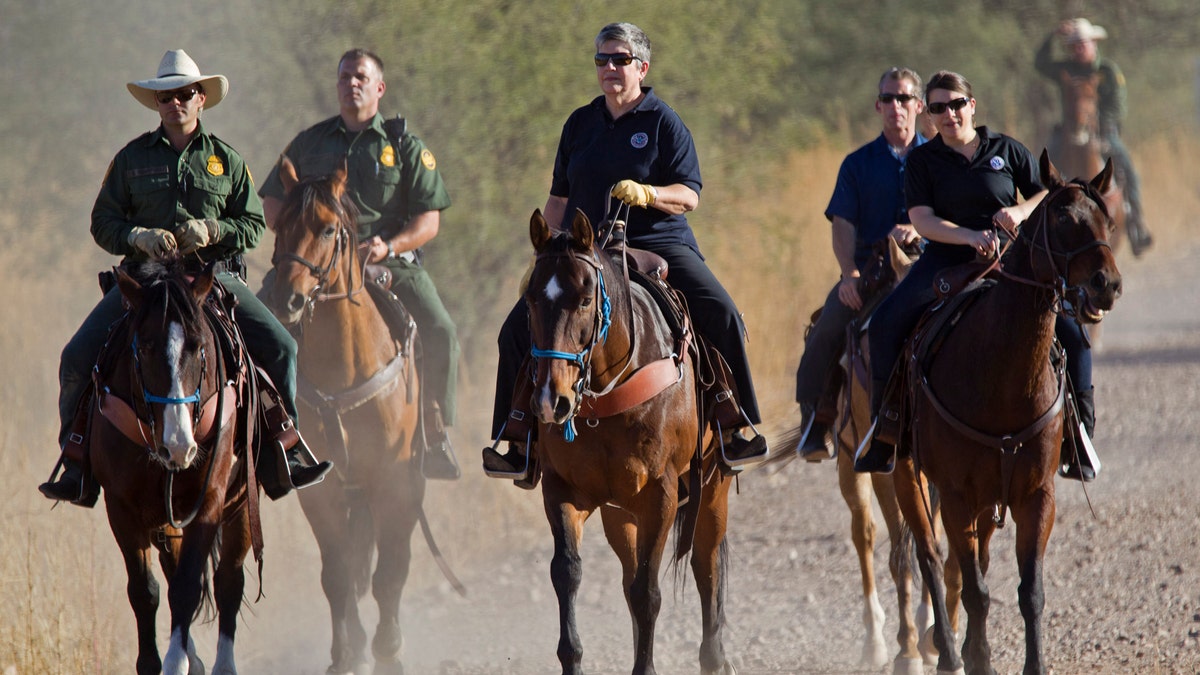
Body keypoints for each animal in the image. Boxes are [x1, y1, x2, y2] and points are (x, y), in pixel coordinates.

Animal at [91, 260, 255, 672]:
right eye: (146, 346)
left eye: (198, 347)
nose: (179, 446)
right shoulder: (121, 509)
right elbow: (144, 591)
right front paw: (157, 661)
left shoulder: (210, 500)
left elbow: (187, 587)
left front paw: (176, 660)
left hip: (241, 506)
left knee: (228, 581)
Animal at [267, 159, 458, 667]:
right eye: (279, 225)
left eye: (327, 228)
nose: (286, 300)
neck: (346, 370)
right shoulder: (323, 490)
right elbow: (337, 575)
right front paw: (346, 655)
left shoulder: (398, 481)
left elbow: (391, 571)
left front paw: (389, 650)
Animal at [528, 207, 734, 667]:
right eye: (530, 300)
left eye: (585, 299)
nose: (553, 400)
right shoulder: (562, 489)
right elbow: (567, 573)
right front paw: (572, 656)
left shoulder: (661, 494)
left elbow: (647, 592)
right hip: (619, 513)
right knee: (628, 575)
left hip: (712, 486)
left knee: (706, 567)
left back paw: (715, 659)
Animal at [897, 152, 1118, 672]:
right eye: (1062, 219)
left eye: (1108, 220)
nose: (1107, 285)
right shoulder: (956, 495)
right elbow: (974, 590)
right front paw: (976, 658)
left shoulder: (1036, 496)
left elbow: (1029, 591)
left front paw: (1028, 662)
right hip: (904, 476)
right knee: (931, 557)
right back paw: (946, 651)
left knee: (970, 558)